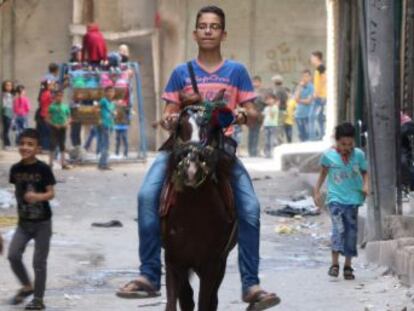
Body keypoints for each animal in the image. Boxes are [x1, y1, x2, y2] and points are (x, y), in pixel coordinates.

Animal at [162, 102, 239, 310]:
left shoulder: (211, 263)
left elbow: (205, 302)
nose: (191, 170)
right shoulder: (173, 259)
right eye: (180, 126)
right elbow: (176, 301)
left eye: (212, 128)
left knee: (212, 300)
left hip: (221, 262)